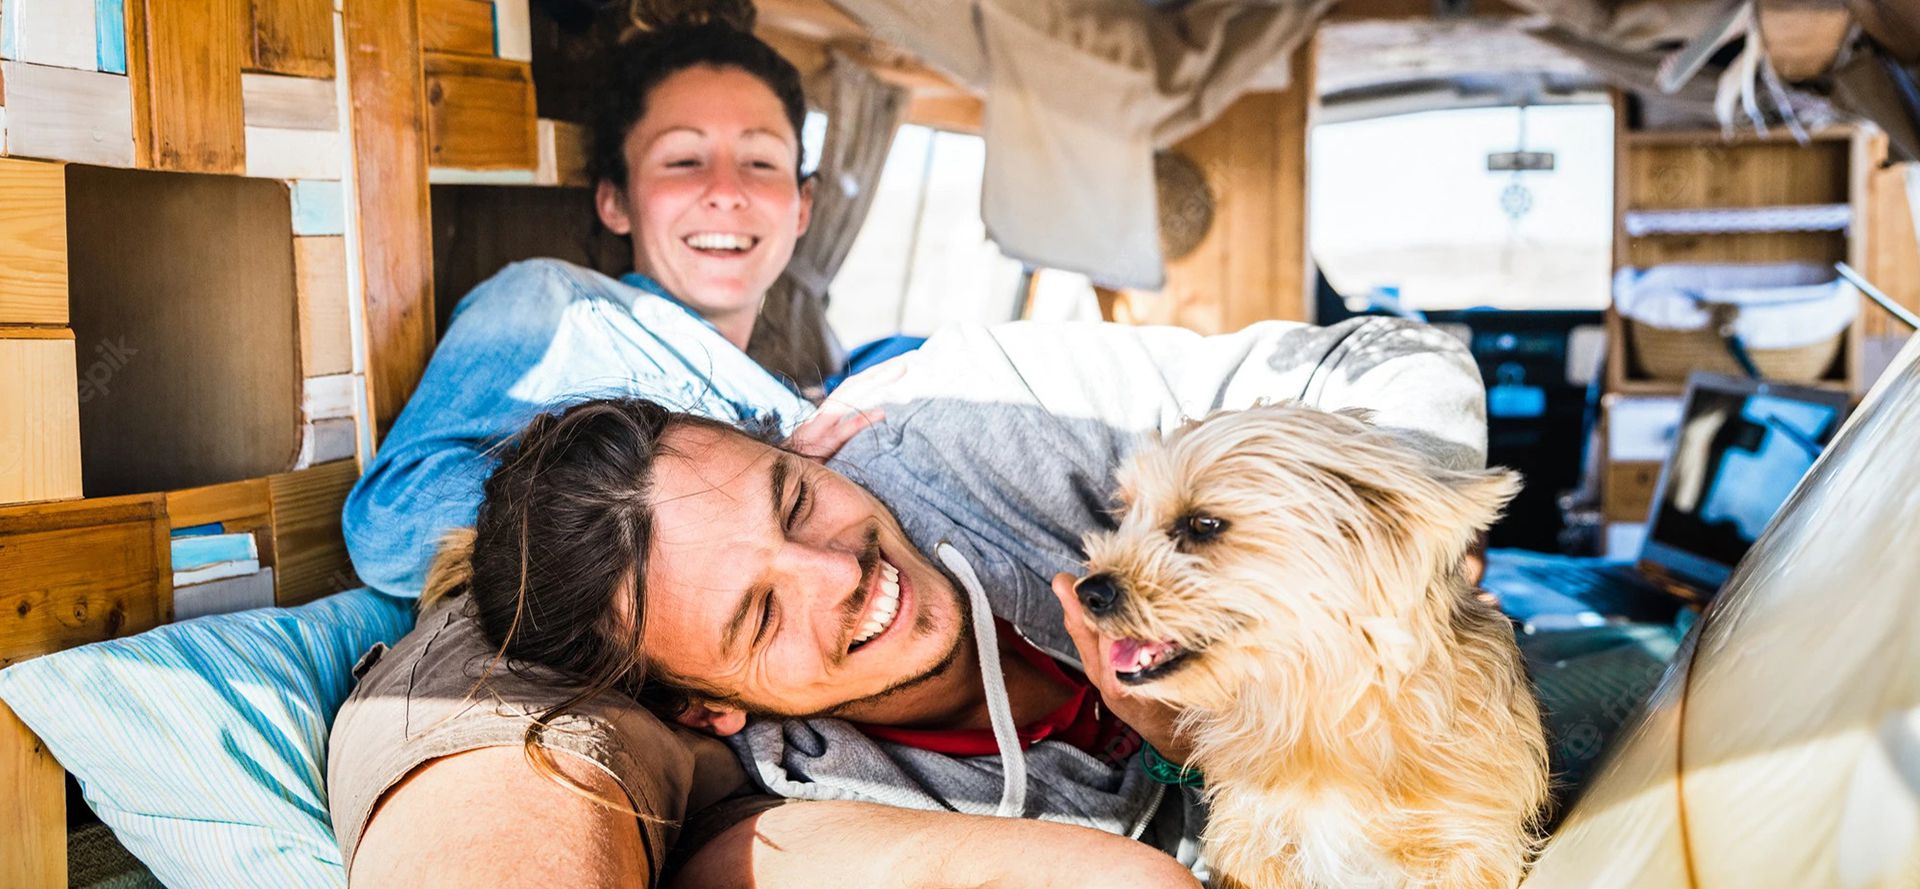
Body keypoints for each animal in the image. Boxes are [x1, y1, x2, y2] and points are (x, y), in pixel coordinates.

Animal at [1082, 405, 1543, 889]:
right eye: (1125, 512)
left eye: (1204, 524)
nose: (1089, 591)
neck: (1320, 707)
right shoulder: (1251, 836)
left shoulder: (1468, 845)